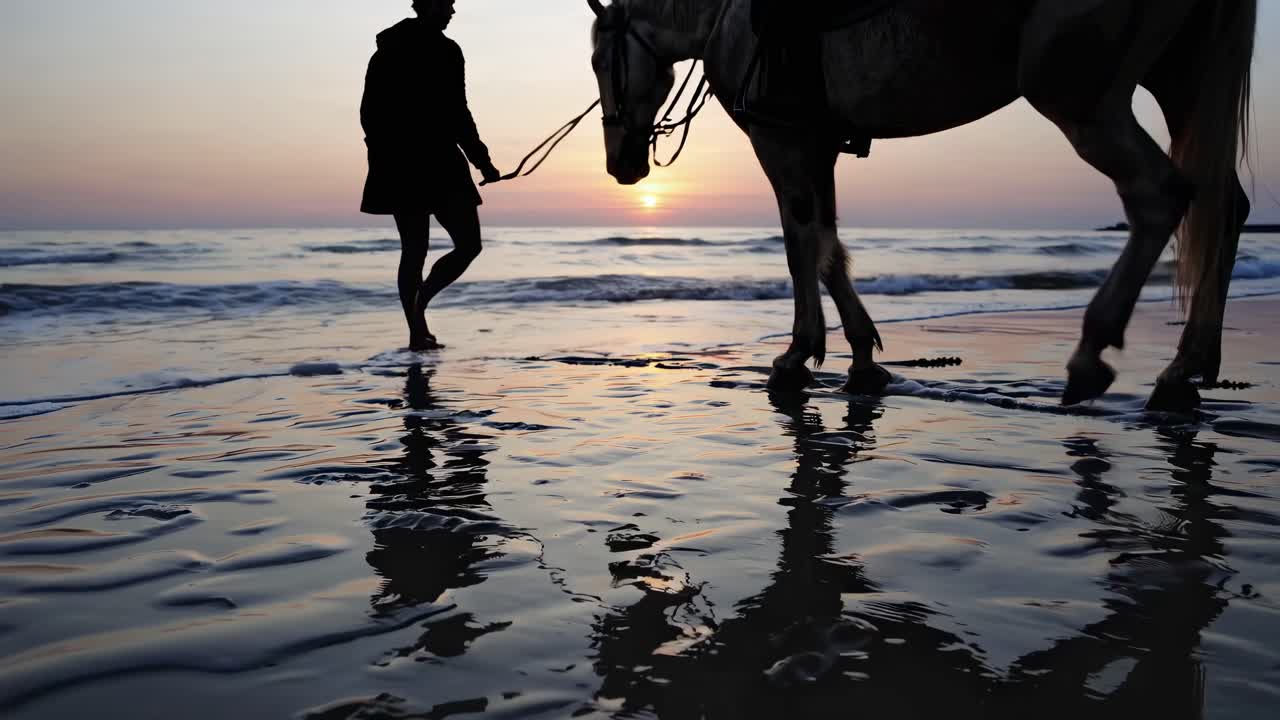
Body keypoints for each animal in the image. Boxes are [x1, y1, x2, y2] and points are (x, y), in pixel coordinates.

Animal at [585, 0, 1256, 411]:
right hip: (1180, 78)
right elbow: (828, 248)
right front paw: (860, 356)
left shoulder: (782, 140)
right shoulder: (818, 145)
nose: (622, 165)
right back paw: (1183, 370)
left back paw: (1094, 355)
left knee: (1158, 194)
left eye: (598, 61)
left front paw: (798, 355)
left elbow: (801, 246)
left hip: (1080, 98)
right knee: (1224, 207)